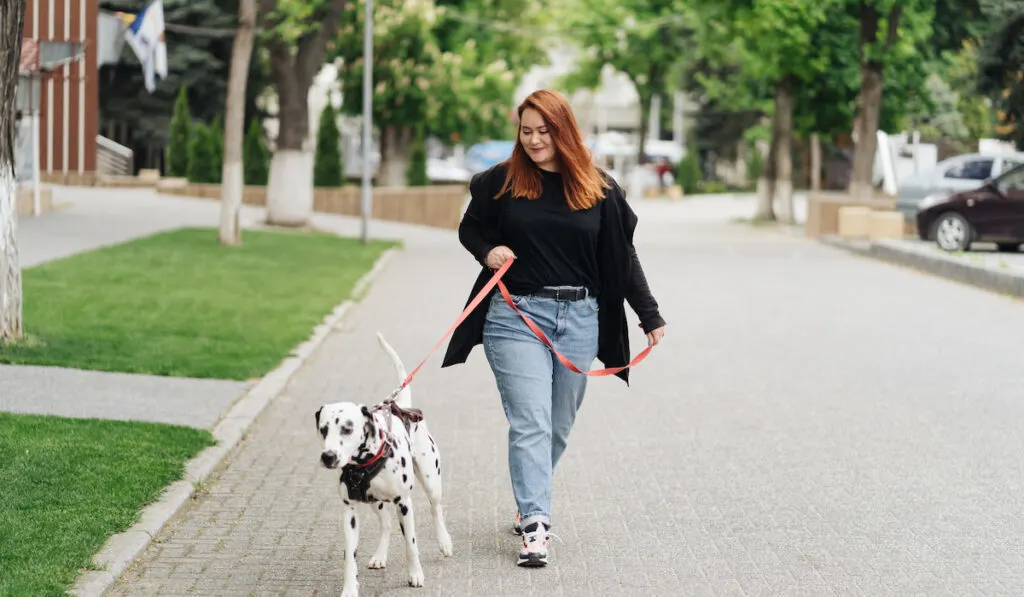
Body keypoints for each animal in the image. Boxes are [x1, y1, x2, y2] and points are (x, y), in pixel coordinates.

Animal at [315, 333, 452, 593]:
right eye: (323, 429)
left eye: (347, 428)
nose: (328, 457)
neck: (364, 461)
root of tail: (401, 406)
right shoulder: (349, 512)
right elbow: (349, 558)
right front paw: (350, 588)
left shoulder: (404, 504)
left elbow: (411, 544)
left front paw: (415, 574)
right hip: (375, 501)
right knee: (386, 524)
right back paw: (380, 556)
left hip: (432, 482)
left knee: (436, 509)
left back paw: (444, 541)